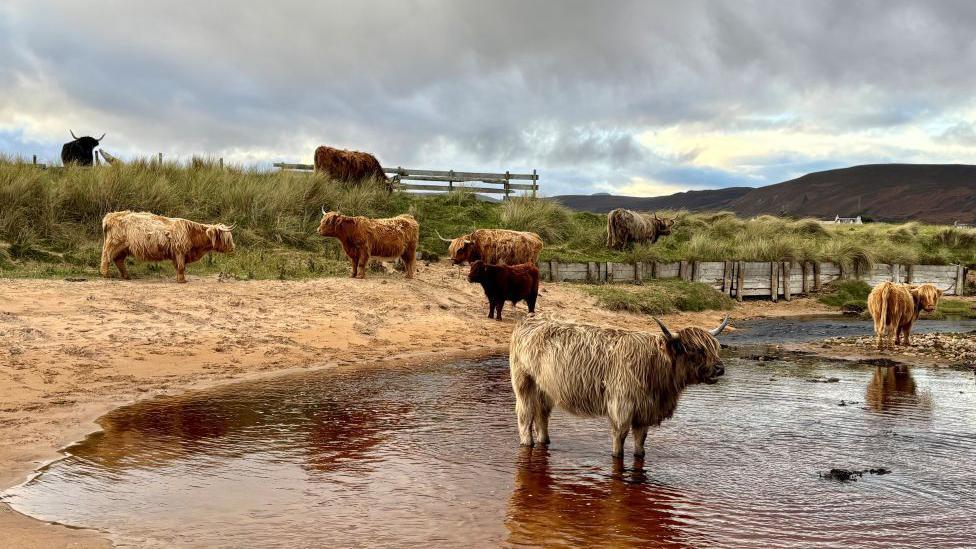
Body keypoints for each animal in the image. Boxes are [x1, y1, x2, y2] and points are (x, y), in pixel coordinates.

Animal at [100, 211, 235, 283]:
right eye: (226, 238)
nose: (233, 248)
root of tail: (110, 216)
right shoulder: (180, 251)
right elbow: (181, 267)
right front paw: (182, 280)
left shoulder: (177, 254)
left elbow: (179, 267)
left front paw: (179, 278)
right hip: (114, 243)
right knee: (106, 257)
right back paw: (106, 274)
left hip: (124, 248)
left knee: (118, 260)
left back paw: (126, 276)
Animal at [509, 314, 730, 458]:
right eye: (695, 349)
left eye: (714, 347)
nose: (720, 368)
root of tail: (528, 320)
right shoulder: (622, 405)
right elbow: (620, 438)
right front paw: (617, 457)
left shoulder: (645, 411)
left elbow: (641, 441)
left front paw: (640, 455)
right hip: (523, 382)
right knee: (525, 414)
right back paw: (527, 443)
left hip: (544, 388)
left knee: (542, 415)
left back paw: (544, 441)